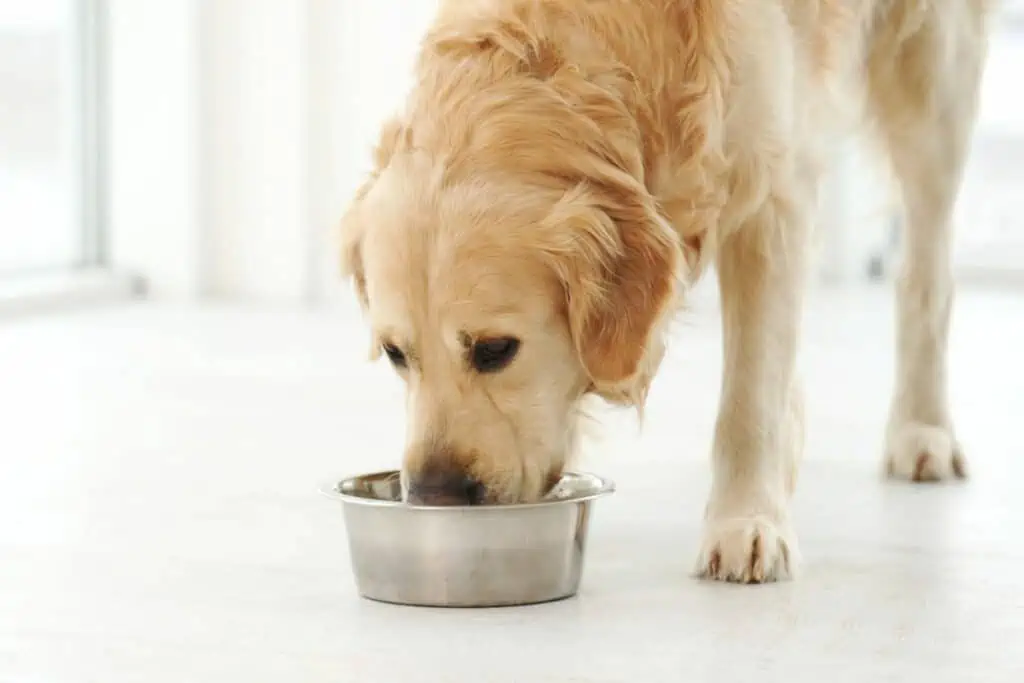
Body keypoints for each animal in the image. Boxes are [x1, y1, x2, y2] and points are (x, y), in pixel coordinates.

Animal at [339, 0, 987, 585]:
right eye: (396, 354)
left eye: (497, 349)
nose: (433, 498)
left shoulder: (773, 196)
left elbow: (750, 399)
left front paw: (746, 523)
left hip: (934, 81)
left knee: (926, 274)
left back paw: (923, 431)